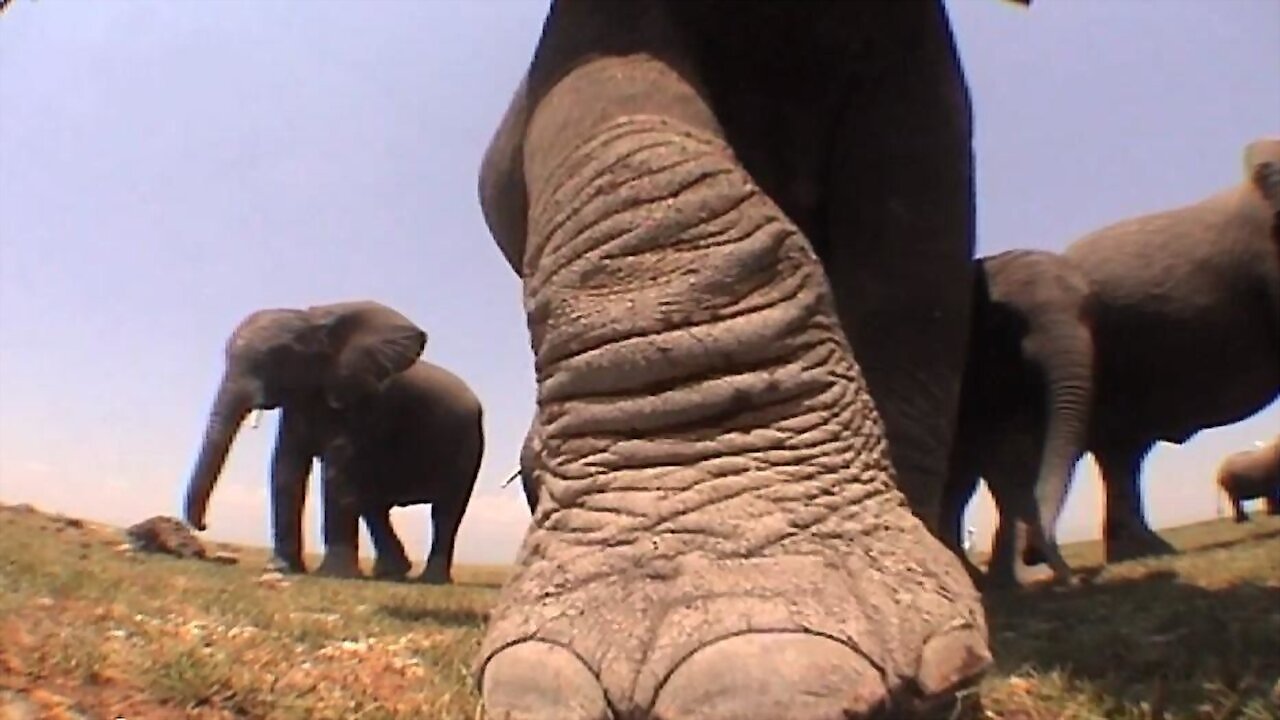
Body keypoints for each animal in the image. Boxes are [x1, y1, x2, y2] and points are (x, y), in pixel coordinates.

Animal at [181, 300, 484, 584]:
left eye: (277, 358)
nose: (205, 524)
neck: (317, 323)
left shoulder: (365, 402)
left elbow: (336, 469)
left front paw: (334, 574)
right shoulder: (300, 403)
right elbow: (286, 468)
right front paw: (282, 568)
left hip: (470, 442)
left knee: (445, 512)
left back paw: (429, 579)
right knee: (374, 503)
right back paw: (391, 573)